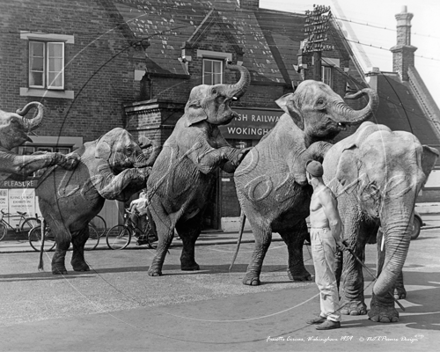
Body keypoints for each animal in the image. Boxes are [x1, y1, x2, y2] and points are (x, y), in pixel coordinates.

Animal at [146, 64, 251, 278]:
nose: (230, 64)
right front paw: (240, 152)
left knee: (190, 232)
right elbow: (204, 160)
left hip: (192, 208)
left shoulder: (216, 132)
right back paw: (155, 272)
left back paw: (191, 267)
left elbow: (225, 166)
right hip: (156, 201)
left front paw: (243, 154)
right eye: (215, 93)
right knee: (166, 232)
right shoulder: (190, 136)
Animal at [234, 81, 378, 288]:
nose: (353, 92)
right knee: (263, 238)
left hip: (289, 220)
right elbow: (301, 172)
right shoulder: (290, 141)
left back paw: (301, 277)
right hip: (249, 202)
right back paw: (251, 282)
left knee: (295, 237)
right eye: (320, 102)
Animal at [322, 121, 438, 322]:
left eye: (419, 186)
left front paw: (384, 317)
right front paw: (353, 311)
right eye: (374, 187)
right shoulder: (348, 191)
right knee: (339, 246)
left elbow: (383, 245)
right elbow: (353, 240)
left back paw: (400, 295)